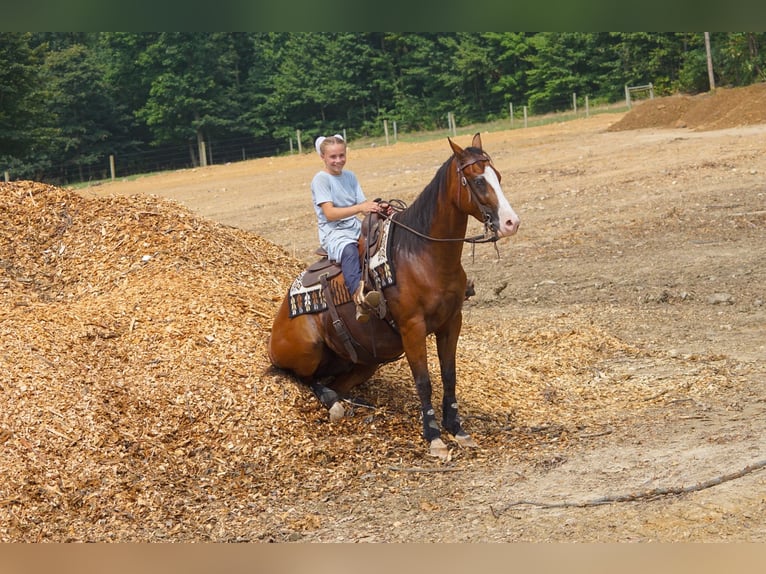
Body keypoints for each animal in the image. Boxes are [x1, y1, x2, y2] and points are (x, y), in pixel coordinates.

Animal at [267, 133, 520, 458]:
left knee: (336, 382)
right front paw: (434, 438)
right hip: (309, 349)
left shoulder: (452, 323)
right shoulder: (413, 328)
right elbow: (423, 381)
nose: (511, 223)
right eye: (477, 181)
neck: (422, 256)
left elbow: (449, 376)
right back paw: (334, 403)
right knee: (307, 379)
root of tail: (278, 322)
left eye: (497, 176)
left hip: (368, 362)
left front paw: (458, 430)